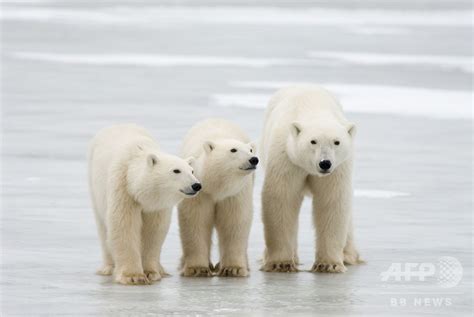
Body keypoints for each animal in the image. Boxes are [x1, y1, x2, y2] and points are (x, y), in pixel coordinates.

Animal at [88, 123, 201, 284]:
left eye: (192, 171)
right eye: (176, 170)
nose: (196, 185)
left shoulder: (156, 205)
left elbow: (154, 230)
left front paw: (151, 272)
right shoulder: (123, 189)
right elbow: (124, 225)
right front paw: (133, 276)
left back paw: (162, 270)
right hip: (95, 186)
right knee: (103, 227)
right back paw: (108, 267)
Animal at [179, 118, 260, 276]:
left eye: (250, 150)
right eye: (233, 150)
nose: (254, 159)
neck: (216, 187)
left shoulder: (234, 194)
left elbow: (234, 221)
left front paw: (233, 268)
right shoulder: (201, 193)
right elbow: (196, 221)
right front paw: (198, 268)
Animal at [262, 85, 362, 272]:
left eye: (336, 142)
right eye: (313, 141)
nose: (325, 163)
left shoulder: (338, 169)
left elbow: (331, 202)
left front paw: (329, 264)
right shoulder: (287, 157)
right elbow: (282, 198)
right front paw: (281, 263)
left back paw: (349, 256)